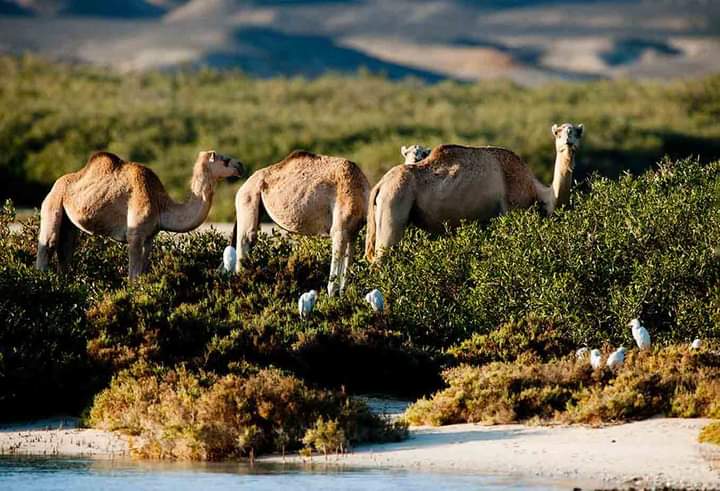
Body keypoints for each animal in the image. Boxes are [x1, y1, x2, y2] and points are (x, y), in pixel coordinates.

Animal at [36, 150, 243, 278]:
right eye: (224, 160)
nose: (240, 165)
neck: (161, 205)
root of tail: (56, 183)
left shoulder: (150, 236)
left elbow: (143, 272)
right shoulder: (135, 235)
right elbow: (133, 277)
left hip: (69, 223)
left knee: (66, 249)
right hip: (53, 204)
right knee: (47, 245)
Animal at [233, 150, 368, 296]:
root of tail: (244, 185)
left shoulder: (353, 233)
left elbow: (347, 269)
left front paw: (343, 296)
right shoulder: (339, 230)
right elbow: (335, 274)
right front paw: (332, 297)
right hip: (247, 199)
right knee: (245, 241)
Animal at [366, 123, 584, 262]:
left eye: (577, 132)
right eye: (558, 133)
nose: (568, 141)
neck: (539, 192)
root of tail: (380, 185)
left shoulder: (486, 223)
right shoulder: (513, 212)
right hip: (394, 204)